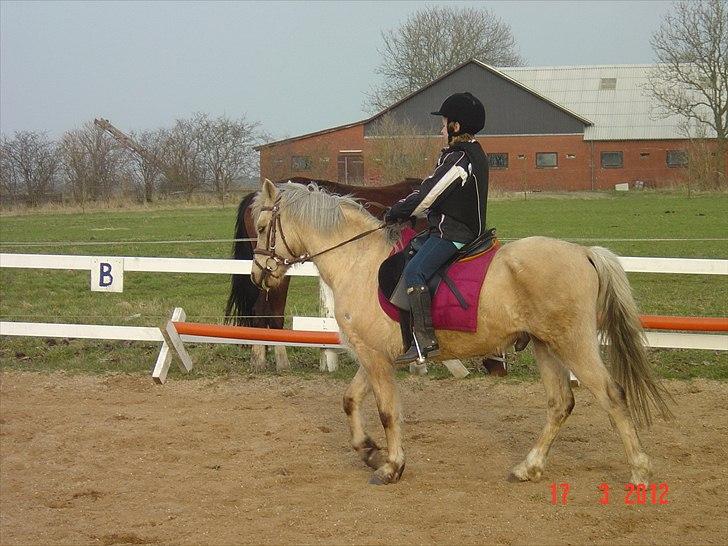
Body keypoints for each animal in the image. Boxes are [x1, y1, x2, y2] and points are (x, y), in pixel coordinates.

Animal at [250, 180, 672, 484]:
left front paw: (391, 466)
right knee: (560, 403)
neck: (358, 260)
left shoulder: (374, 357)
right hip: (546, 345)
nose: (258, 276)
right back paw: (529, 467)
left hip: (573, 344)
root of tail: (584, 253)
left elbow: (387, 411)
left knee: (611, 396)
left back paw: (639, 471)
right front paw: (368, 450)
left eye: (261, 227)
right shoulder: (375, 355)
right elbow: (350, 400)